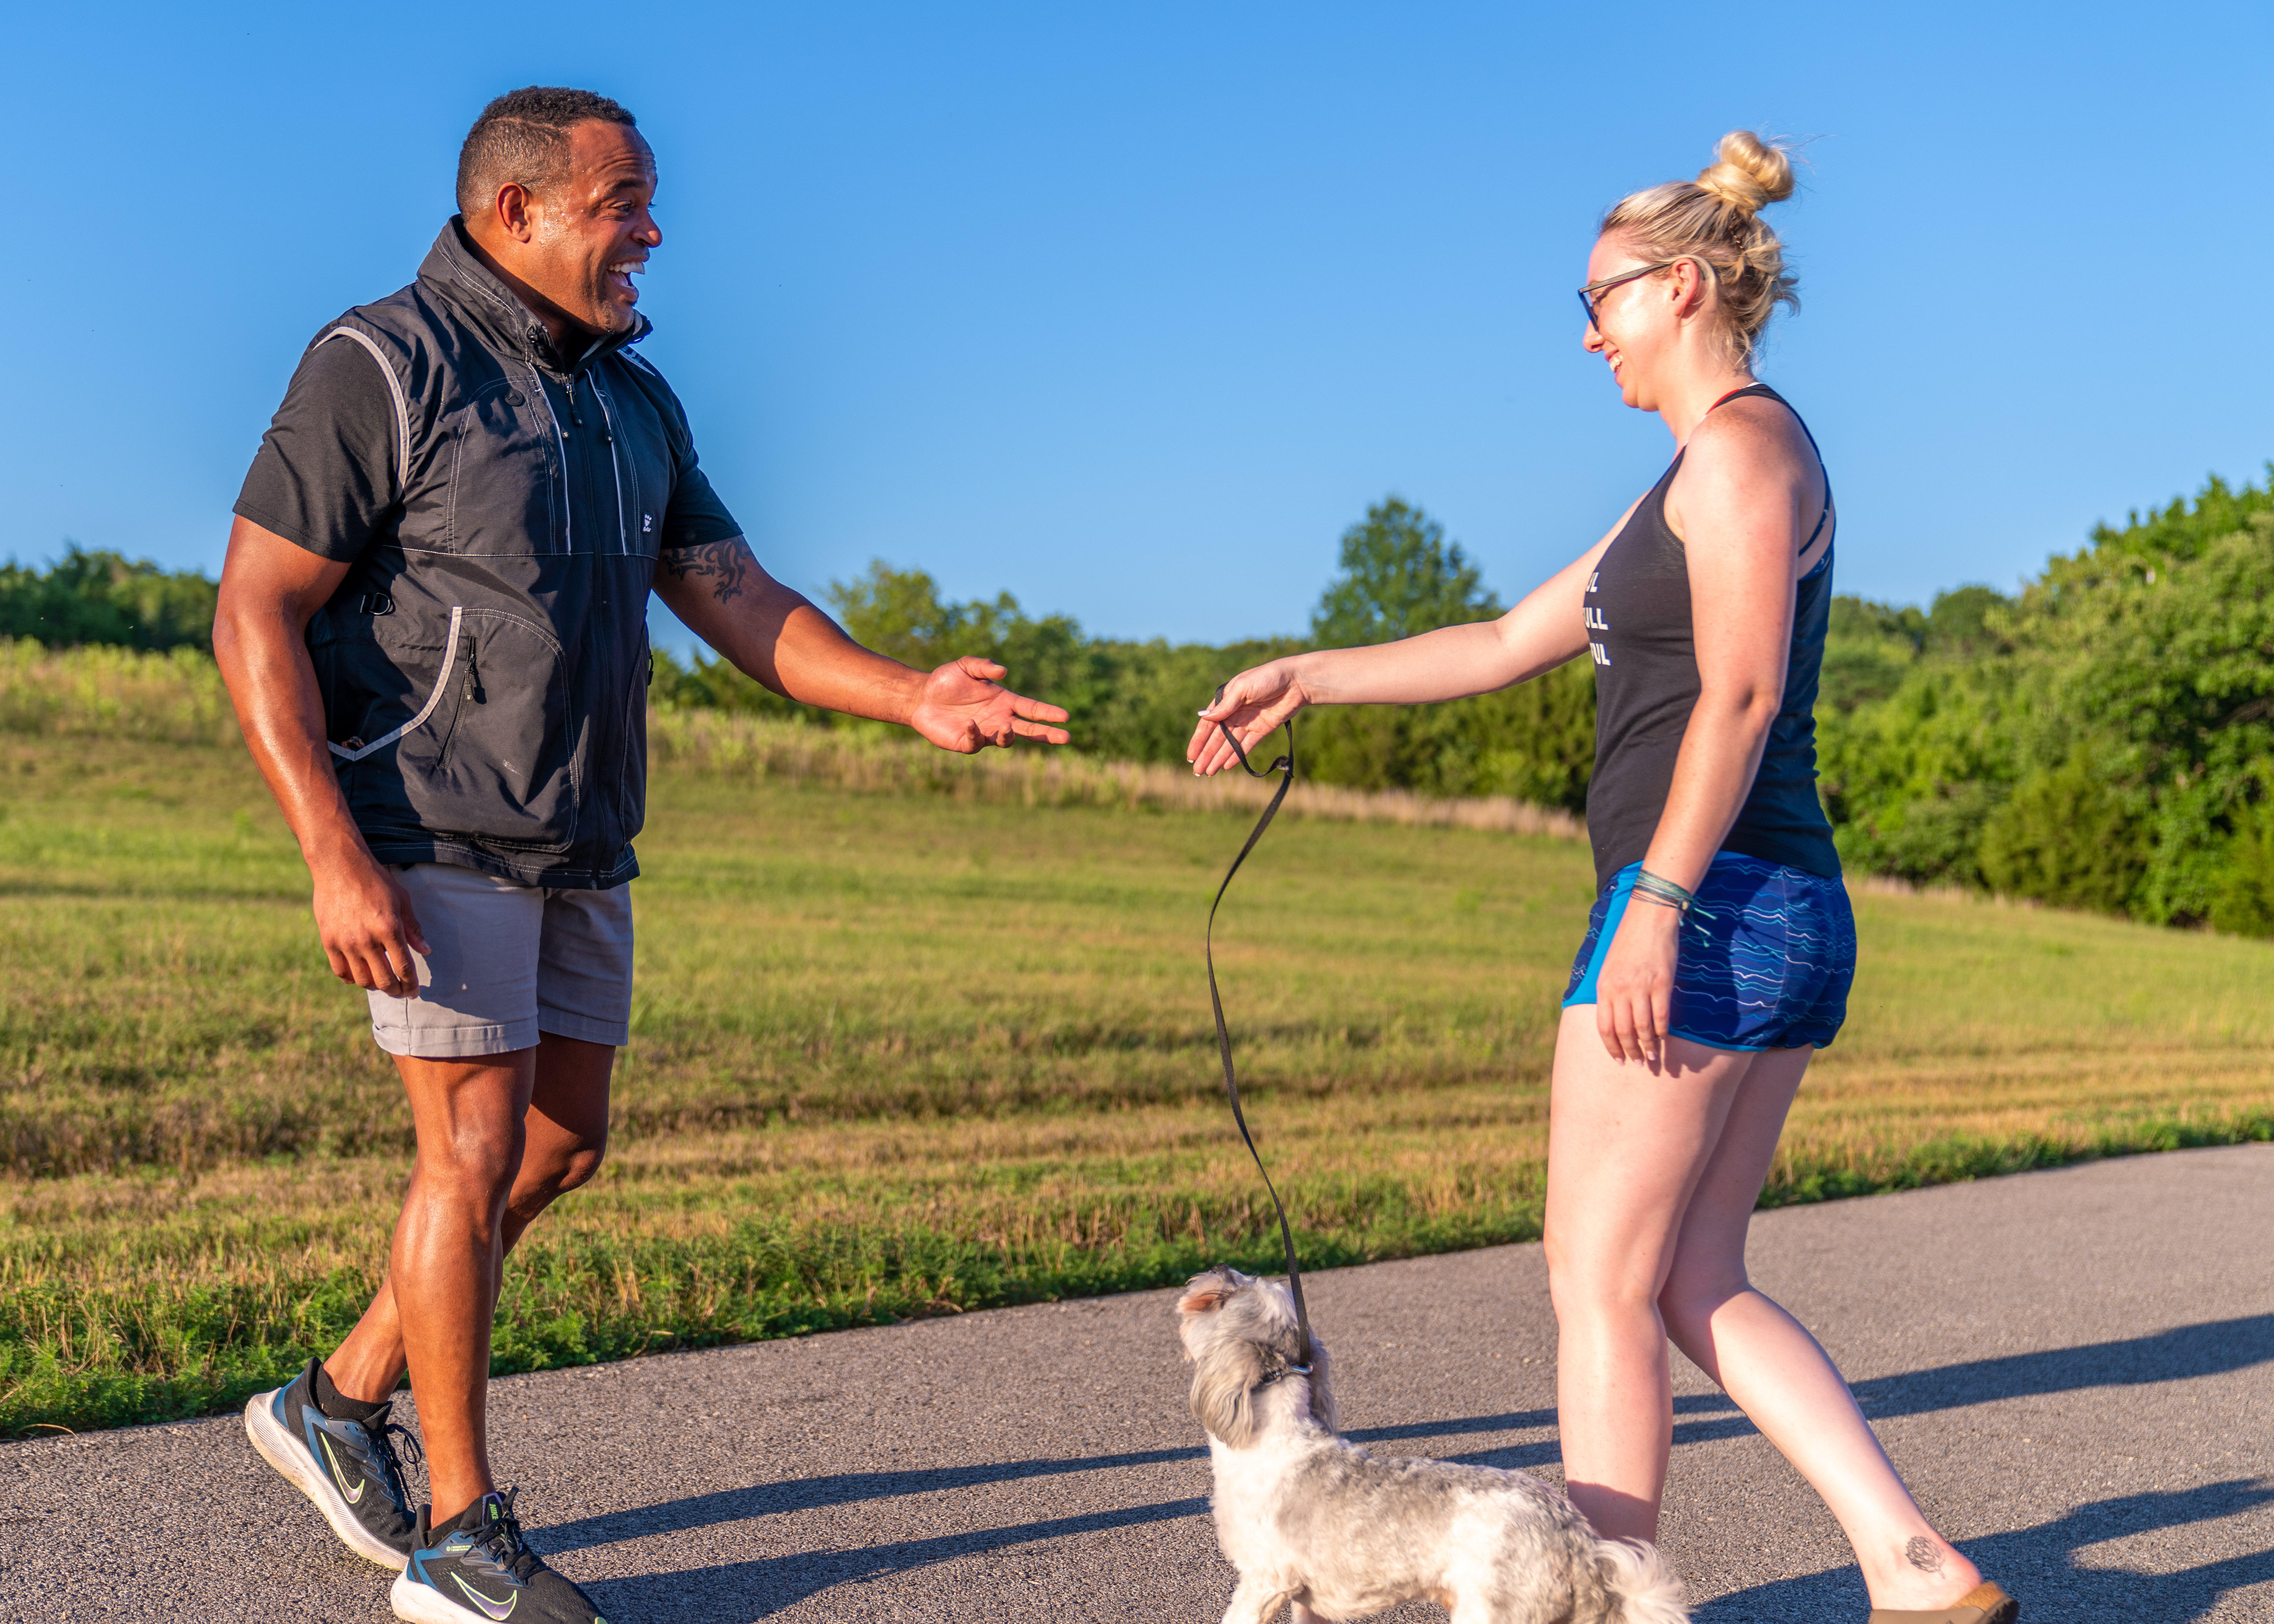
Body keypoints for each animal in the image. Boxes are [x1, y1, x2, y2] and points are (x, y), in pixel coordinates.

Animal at [1182, 1264, 1682, 1619]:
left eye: (1220, 1296)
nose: (1214, 1269)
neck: (1276, 1437)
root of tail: (1579, 1543)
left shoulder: (1266, 1581)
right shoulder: (1308, 1596)